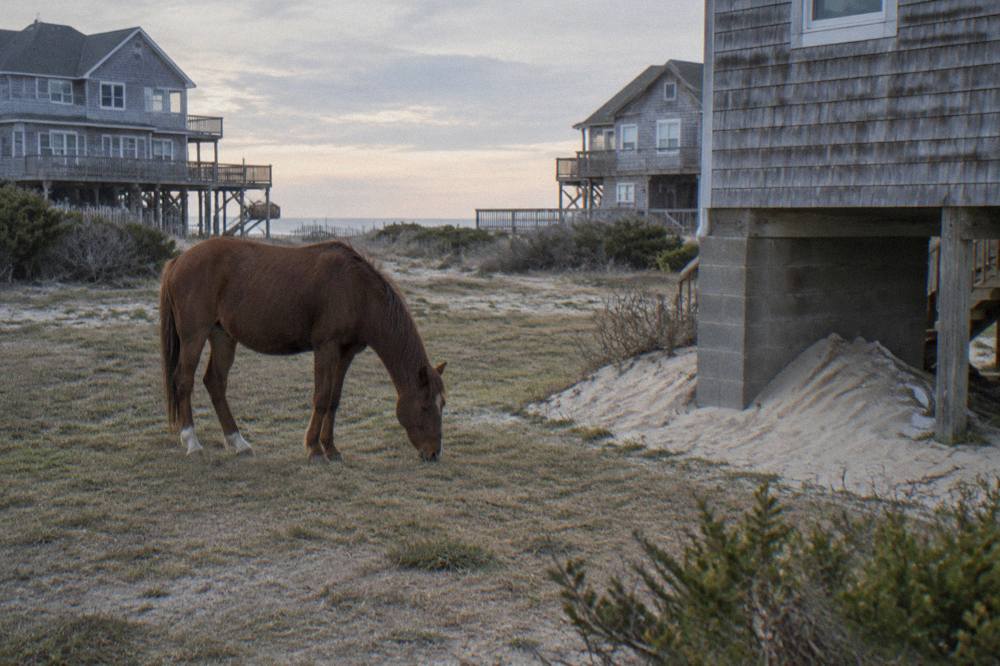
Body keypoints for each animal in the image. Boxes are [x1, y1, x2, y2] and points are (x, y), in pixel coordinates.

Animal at [158, 237, 446, 463]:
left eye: (442, 404)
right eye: (424, 406)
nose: (433, 453)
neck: (358, 291)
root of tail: (178, 260)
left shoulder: (346, 353)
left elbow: (334, 399)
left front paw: (331, 448)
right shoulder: (326, 348)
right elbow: (321, 398)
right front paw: (315, 449)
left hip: (223, 336)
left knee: (215, 383)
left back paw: (238, 443)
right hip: (194, 336)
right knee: (184, 381)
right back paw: (192, 443)